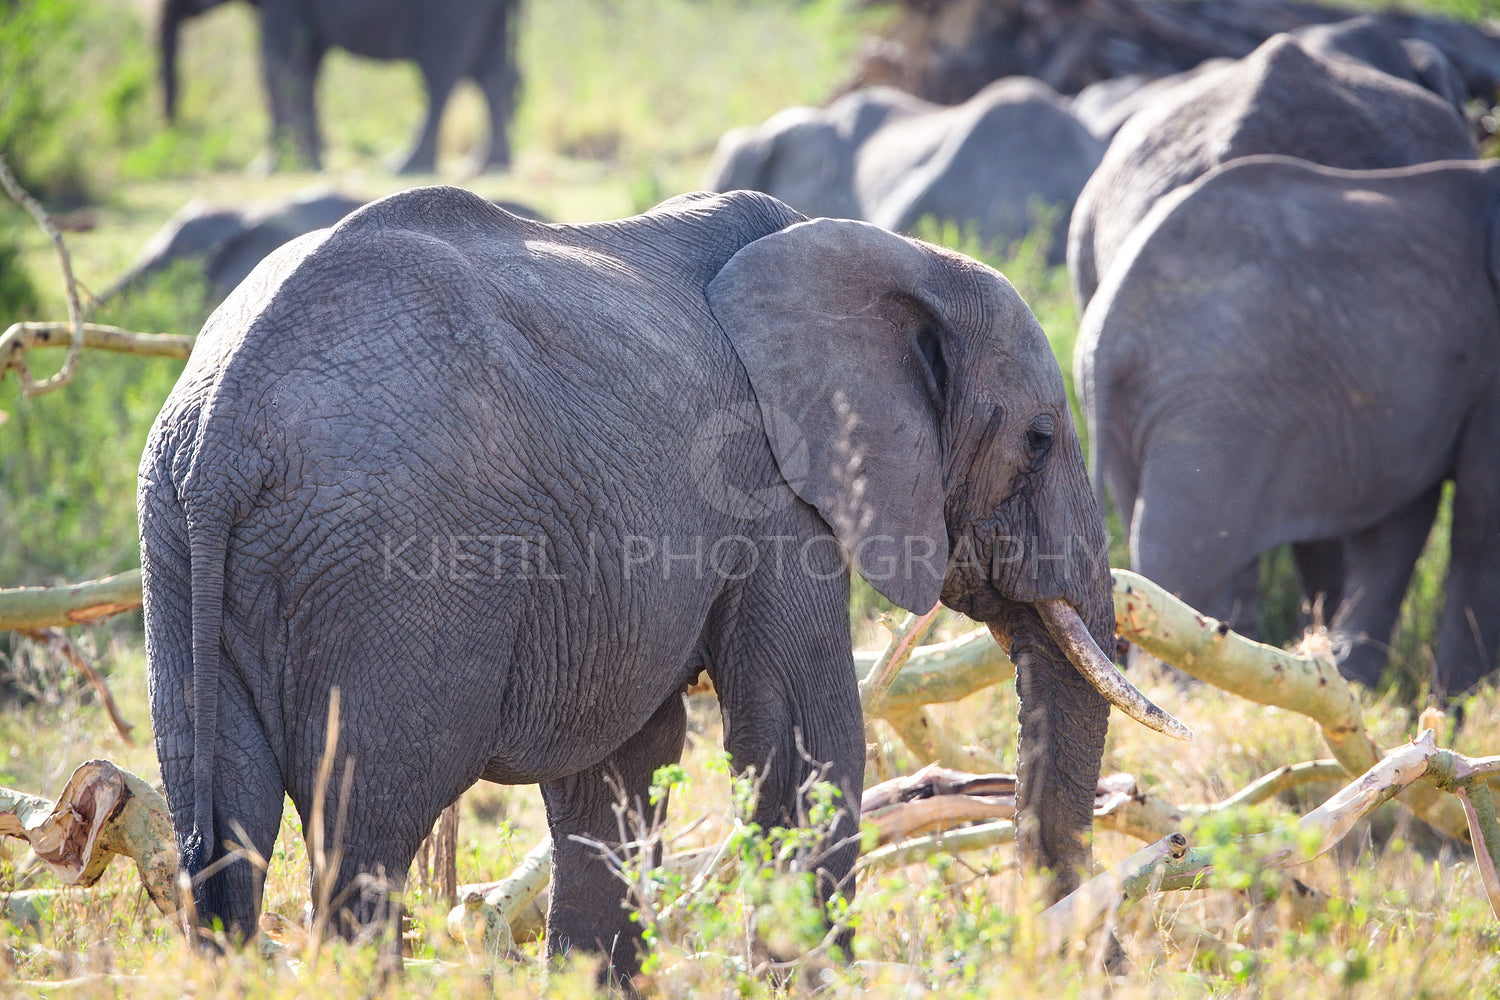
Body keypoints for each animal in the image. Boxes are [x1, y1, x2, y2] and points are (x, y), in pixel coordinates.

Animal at [138, 187, 1182, 977]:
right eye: (1039, 441)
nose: (1099, 960)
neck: (894, 258)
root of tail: (226, 432)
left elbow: (621, 771)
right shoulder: (769, 496)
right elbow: (801, 742)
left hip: (177, 547)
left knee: (220, 843)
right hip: (398, 568)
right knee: (364, 846)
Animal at [159, 0, 522, 173]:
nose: (178, 131)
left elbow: (278, 62)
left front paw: (281, 166)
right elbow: (304, 66)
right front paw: (305, 161)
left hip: (452, 12)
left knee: (442, 72)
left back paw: (403, 166)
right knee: (491, 75)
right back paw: (486, 166)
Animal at [1080, 156, 1500, 701]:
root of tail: (1106, 332)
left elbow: (1394, 524)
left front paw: (1361, 686)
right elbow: (1481, 518)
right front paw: (1454, 706)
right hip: (1214, 399)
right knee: (1183, 551)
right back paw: (1186, 695)